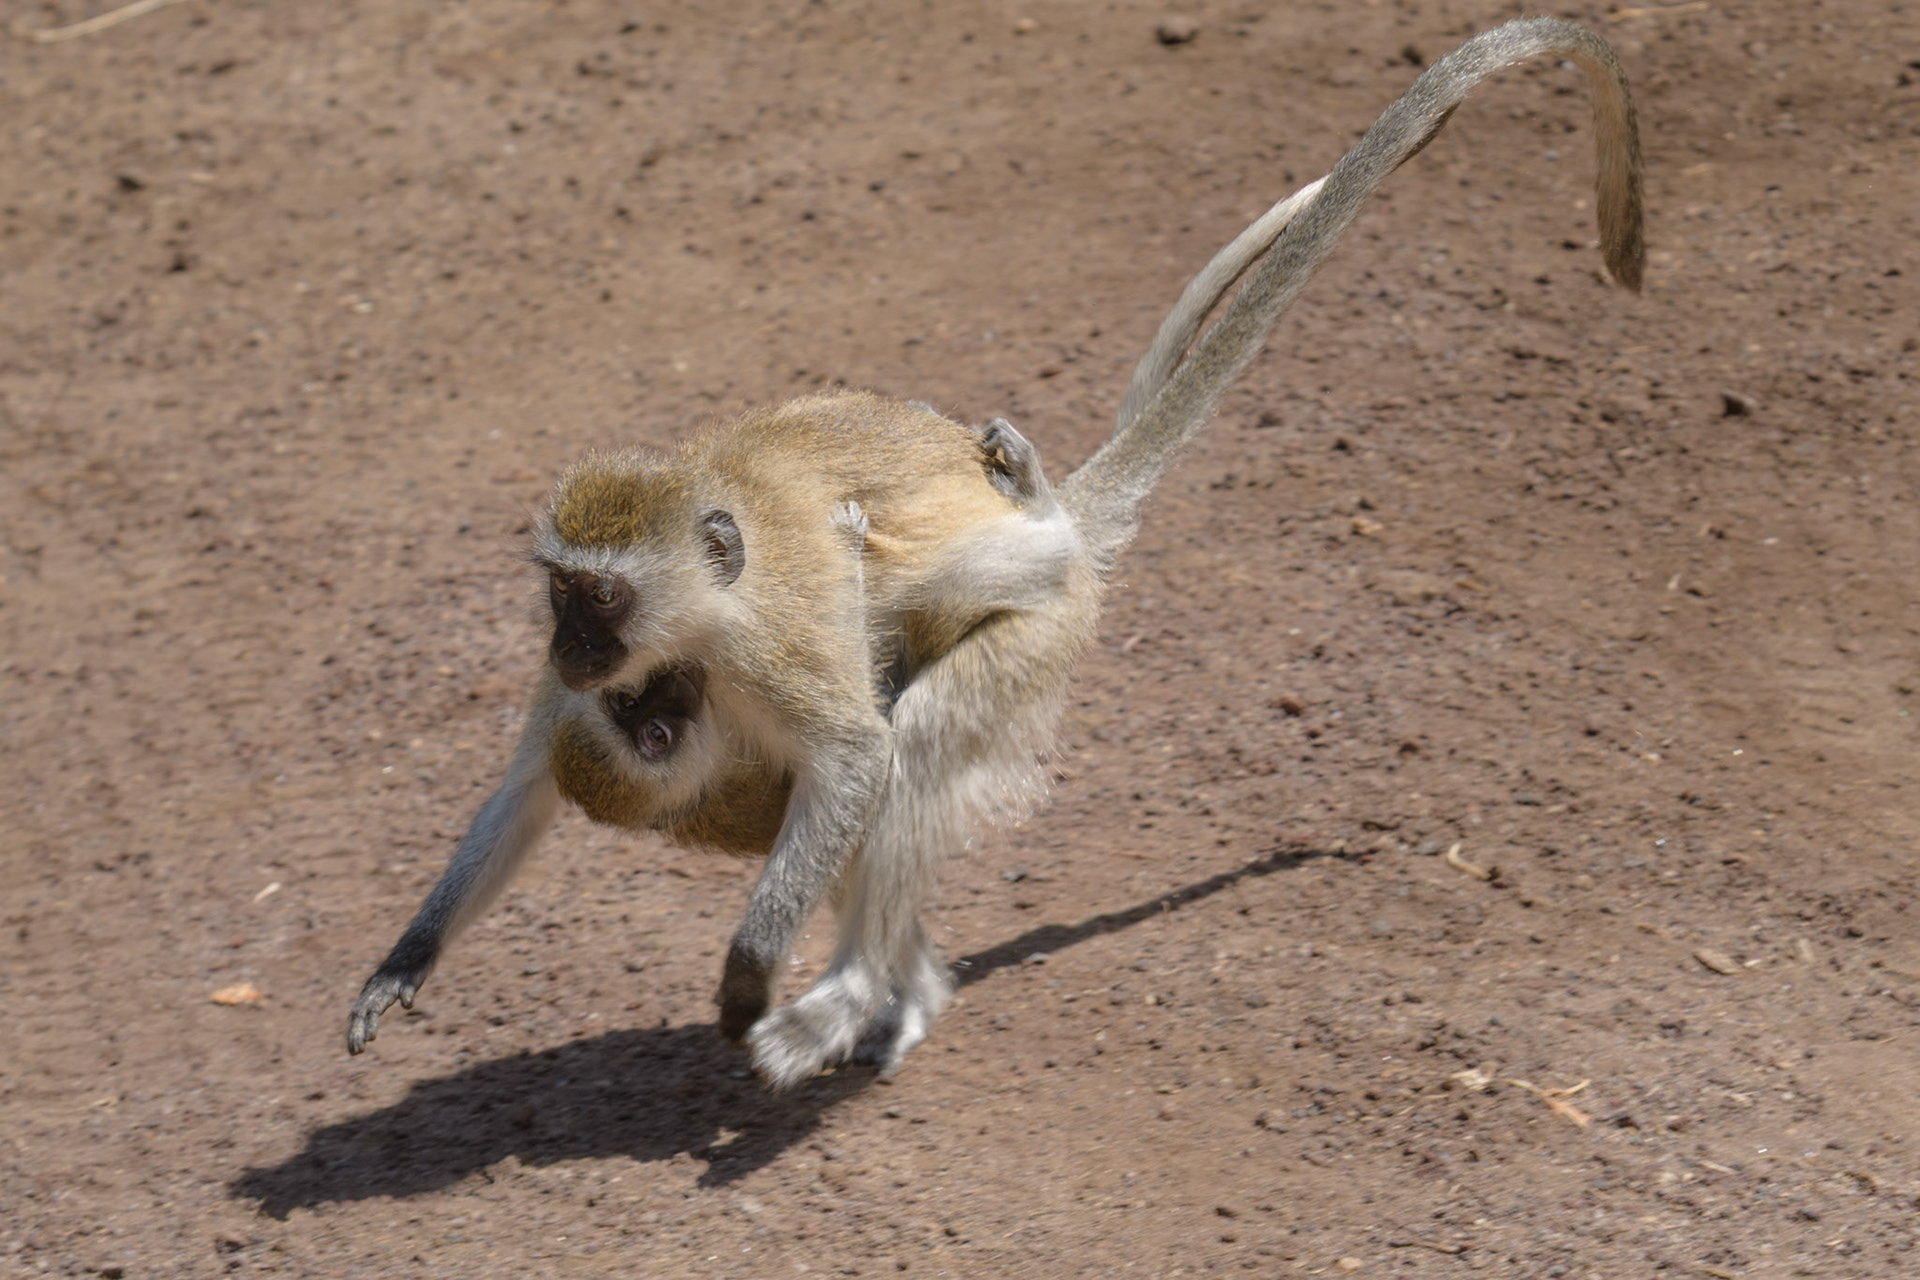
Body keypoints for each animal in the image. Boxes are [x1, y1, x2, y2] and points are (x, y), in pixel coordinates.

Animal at [347, 17, 1644, 1089]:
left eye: (600, 597)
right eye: (560, 595)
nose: (574, 652)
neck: (703, 628)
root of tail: (1060, 533)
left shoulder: (771, 647)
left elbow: (856, 760)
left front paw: (751, 972)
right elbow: (528, 777)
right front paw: (408, 955)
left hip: (1042, 627)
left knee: (916, 730)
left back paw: (853, 988)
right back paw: (890, 988)